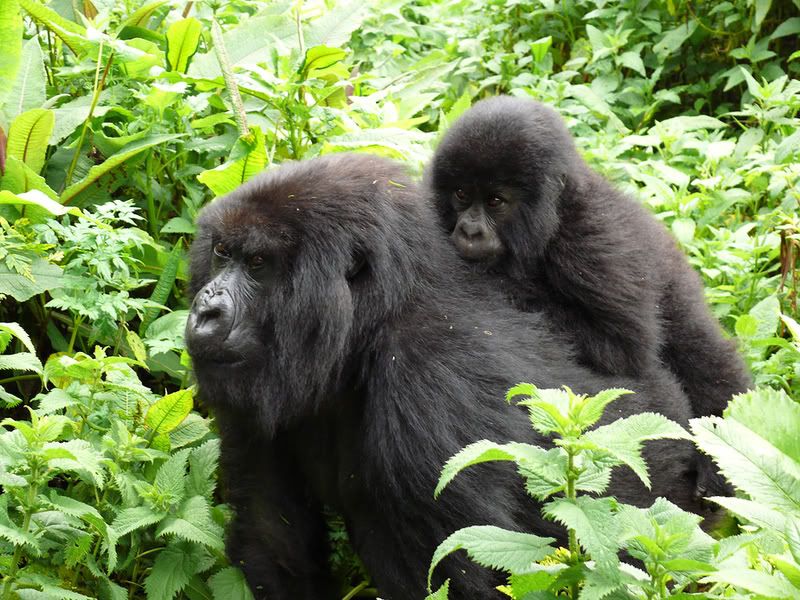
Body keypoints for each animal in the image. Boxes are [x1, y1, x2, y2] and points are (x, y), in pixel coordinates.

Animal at [189, 152, 712, 596]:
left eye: (259, 263)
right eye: (222, 253)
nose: (205, 312)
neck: (370, 326)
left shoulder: (430, 385)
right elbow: (273, 540)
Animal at [428, 95, 752, 496]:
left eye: (495, 201)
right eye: (460, 194)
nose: (469, 231)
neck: (557, 213)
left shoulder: (595, 243)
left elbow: (621, 349)